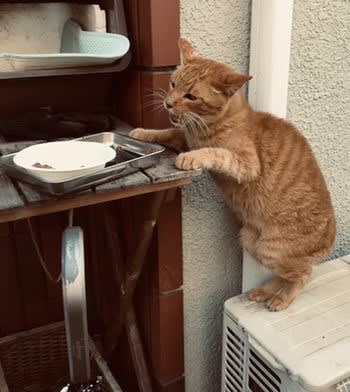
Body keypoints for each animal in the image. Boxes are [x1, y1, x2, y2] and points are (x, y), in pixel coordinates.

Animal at [130, 38, 334, 310]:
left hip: (271, 249)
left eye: (191, 96)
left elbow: (216, 153)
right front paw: (142, 133)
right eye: (173, 84)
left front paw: (191, 158)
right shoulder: (184, 137)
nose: (168, 103)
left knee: (303, 274)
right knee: (286, 274)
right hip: (250, 240)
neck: (205, 129)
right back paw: (264, 291)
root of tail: (330, 237)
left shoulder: (246, 163)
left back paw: (281, 300)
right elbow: (166, 133)